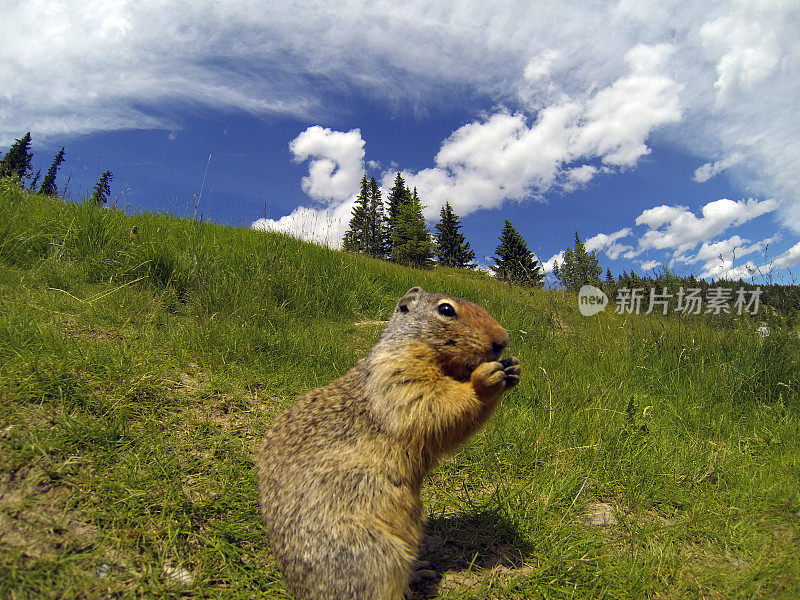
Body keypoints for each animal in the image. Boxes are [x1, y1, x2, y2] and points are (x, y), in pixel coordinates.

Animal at [253, 288, 520, 596]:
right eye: (446, 309)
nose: (503, 340)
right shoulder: (397, 371)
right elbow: (429, 401)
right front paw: (485, 378)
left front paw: (513, 367)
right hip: (370, 553)